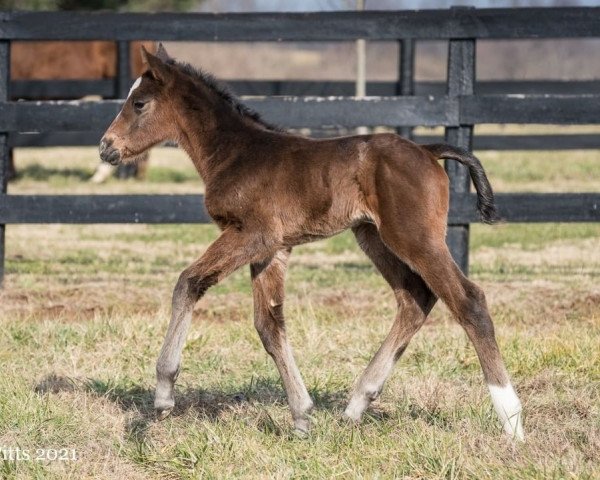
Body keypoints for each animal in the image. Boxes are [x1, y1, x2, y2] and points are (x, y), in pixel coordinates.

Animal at [101, 46, 524, 442]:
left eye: (139, 104)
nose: (106, 148)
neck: (235, 153)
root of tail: (427, 151)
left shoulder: (253, 234)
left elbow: (188, 282)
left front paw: (163, 395)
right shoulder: (273, 249)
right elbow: (269, 326)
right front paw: (302, 416)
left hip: (413, 236)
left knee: (468, 300)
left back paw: (512, 421)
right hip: (373, 237)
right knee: (415, 298)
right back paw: (355, 406)